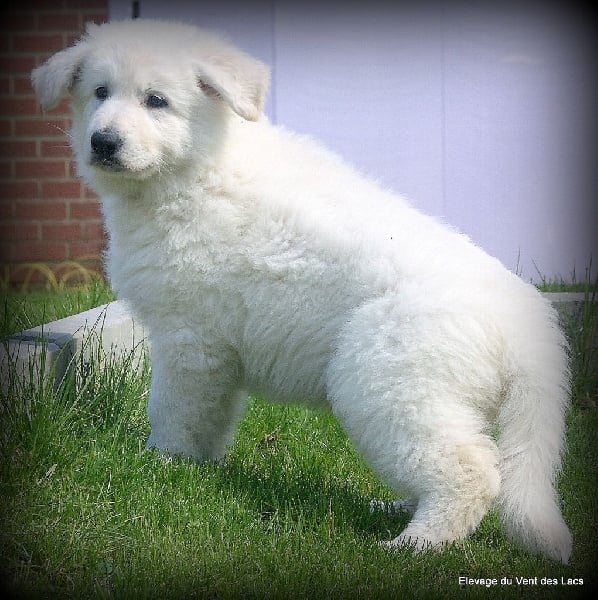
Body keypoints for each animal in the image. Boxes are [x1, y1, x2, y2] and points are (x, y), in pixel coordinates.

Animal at [32, 19, 572, 563]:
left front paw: (160, 463)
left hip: (389, 383)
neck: (195, 169)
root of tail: (527, 332)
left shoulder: (190, 340)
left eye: (156, 101)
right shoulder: (217, 352)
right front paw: (195, 470)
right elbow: (212, 418)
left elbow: (174, 410)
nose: (103, 142)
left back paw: (414, 544)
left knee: (470, 472)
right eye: (99, 92)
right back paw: (395, 511)